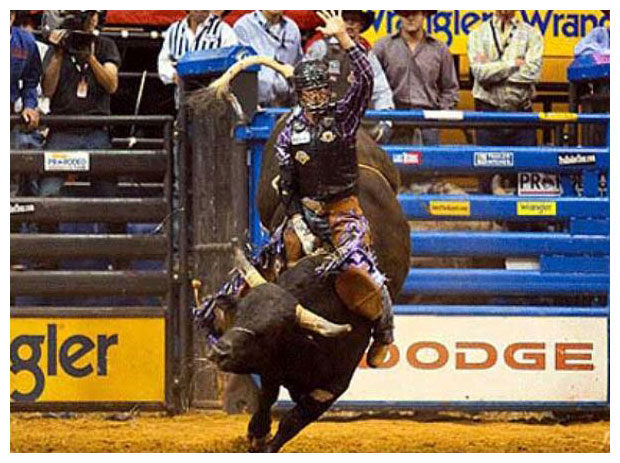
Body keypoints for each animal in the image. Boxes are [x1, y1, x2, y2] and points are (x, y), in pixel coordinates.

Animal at [191, 54, 410, 454]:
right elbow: (267, 400)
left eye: (267, 330)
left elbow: (291, 423)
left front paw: (264, 440)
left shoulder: (329, 389)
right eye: (241, 311)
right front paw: (255, 432)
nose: (220, 352)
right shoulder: (273, 369)